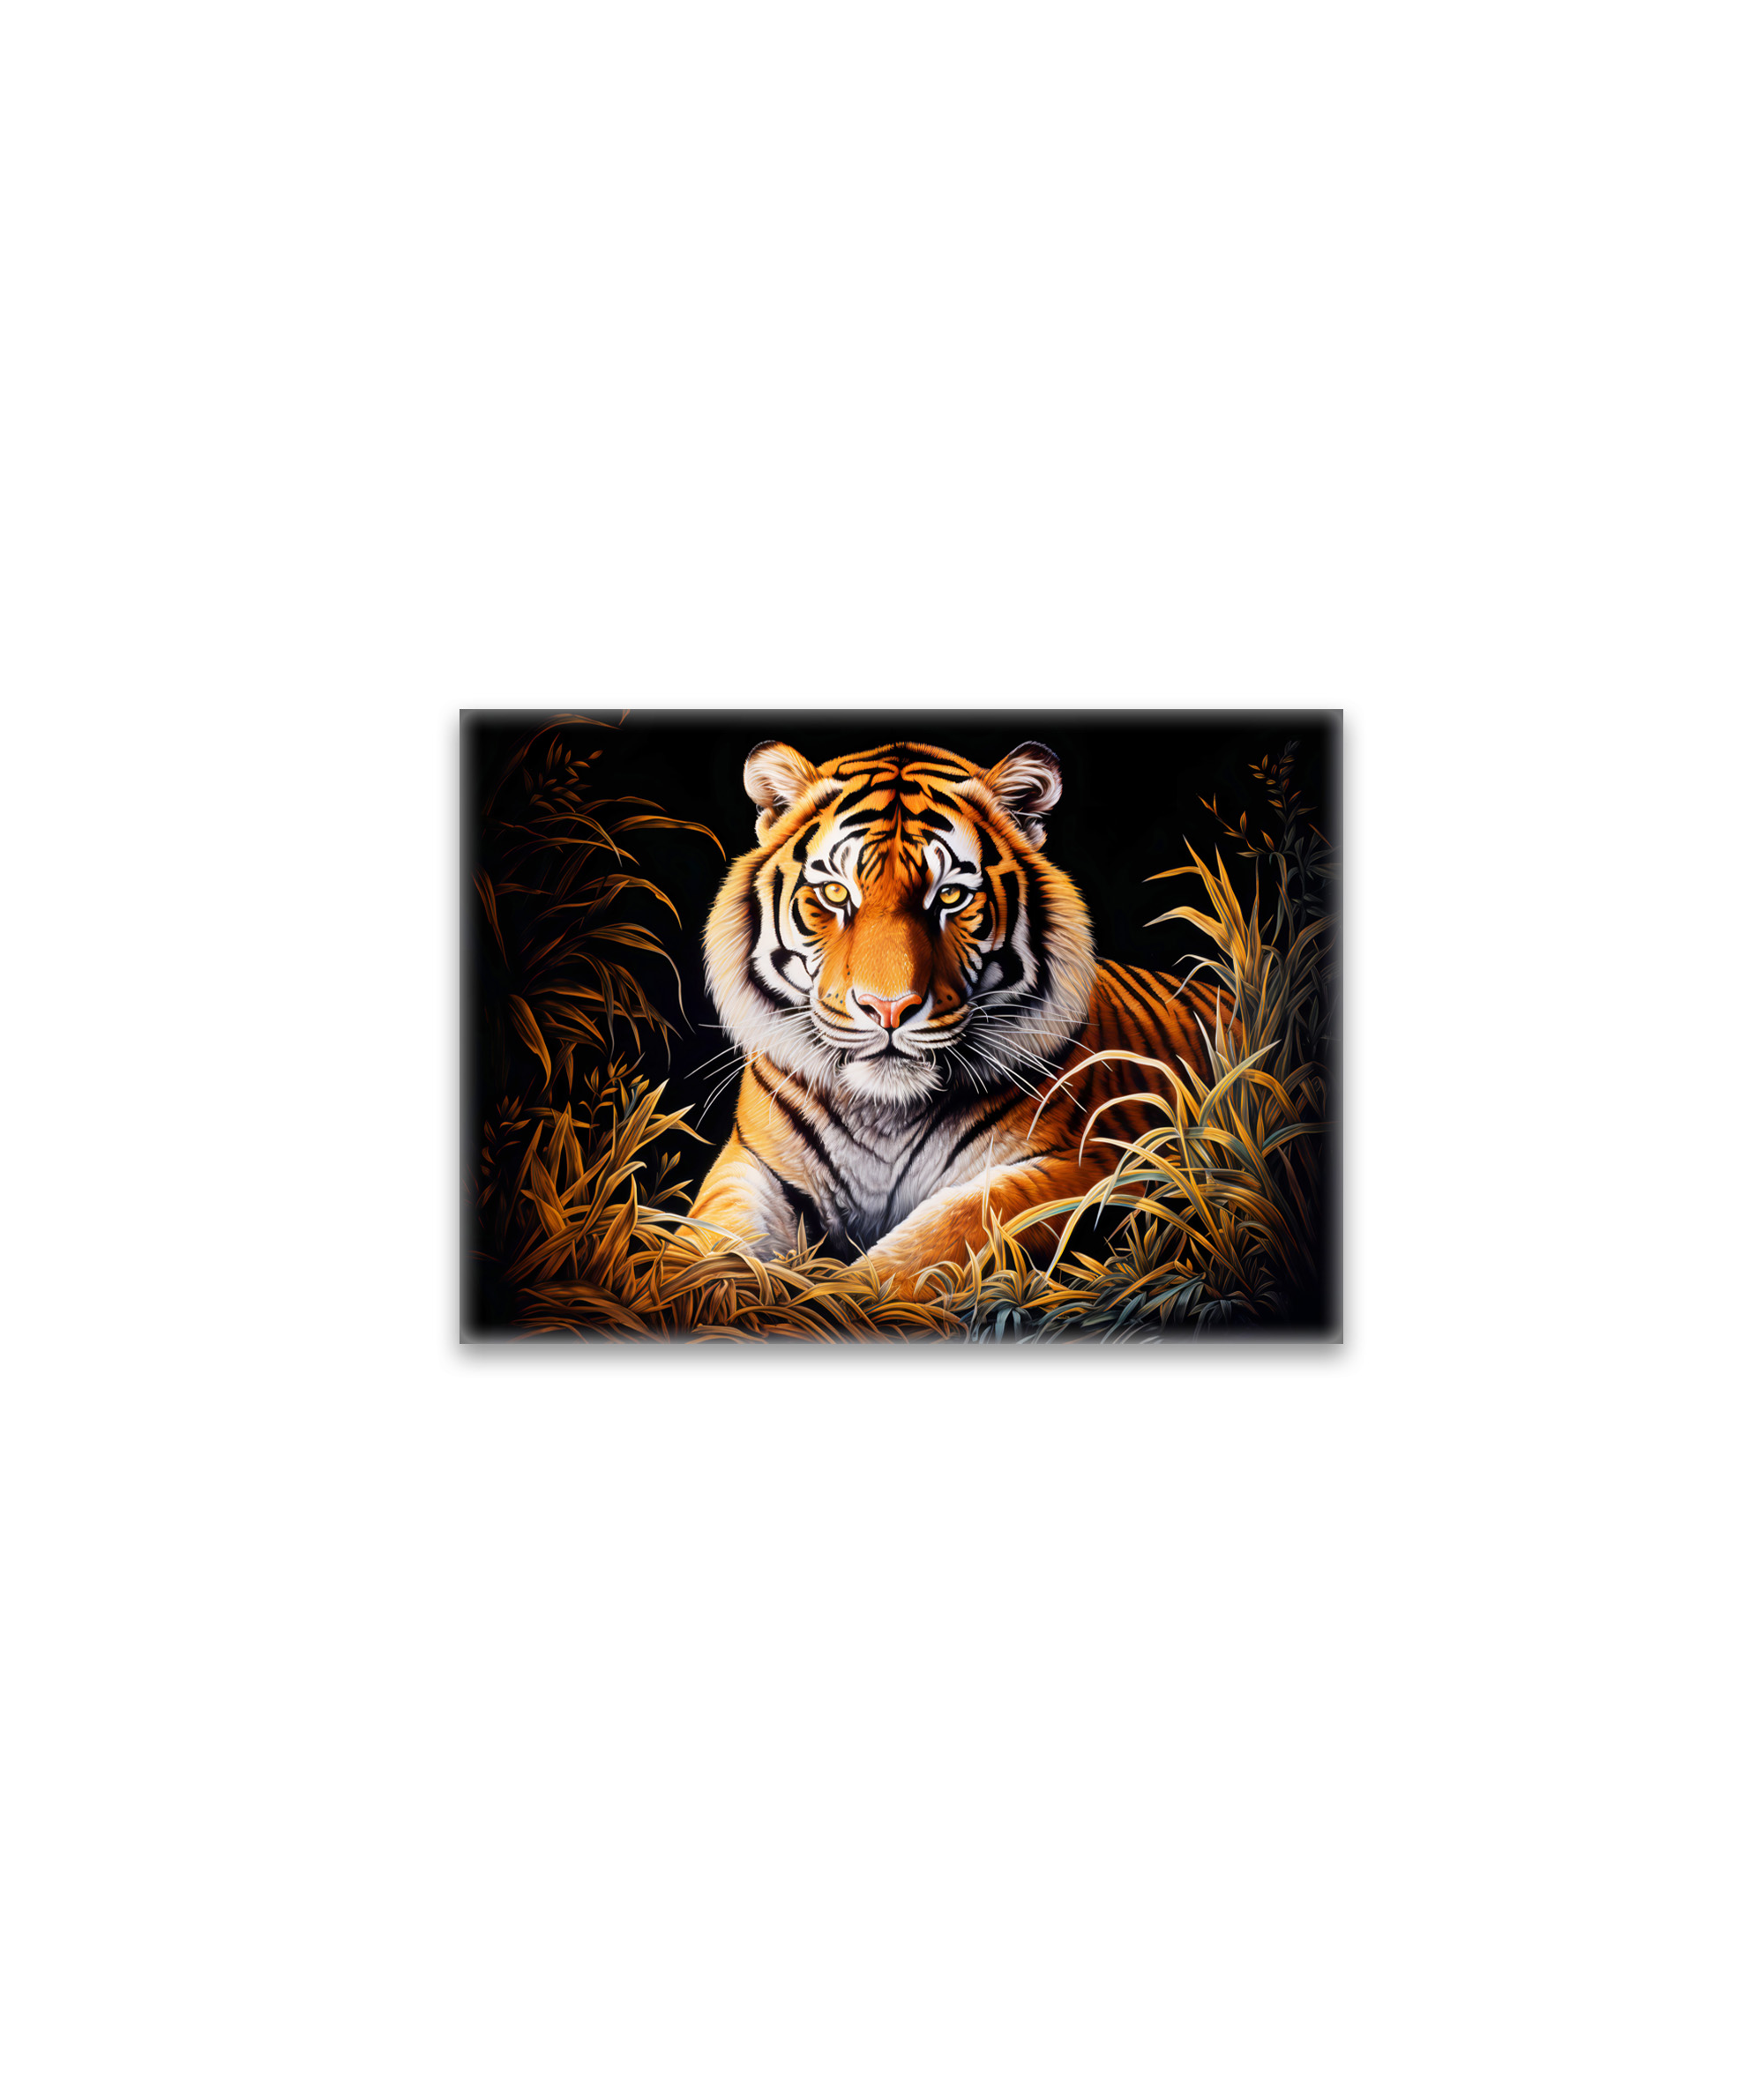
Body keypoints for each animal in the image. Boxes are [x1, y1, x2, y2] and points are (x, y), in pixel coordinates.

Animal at [686, 737, 1226, 1288]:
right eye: (835, 893)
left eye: (950, 896)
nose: (888, 1008)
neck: (884, 1113)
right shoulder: (749, 1163)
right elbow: (710, 1241)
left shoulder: (1095, 1161)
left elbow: (950, 1228)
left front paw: (843, 1294)